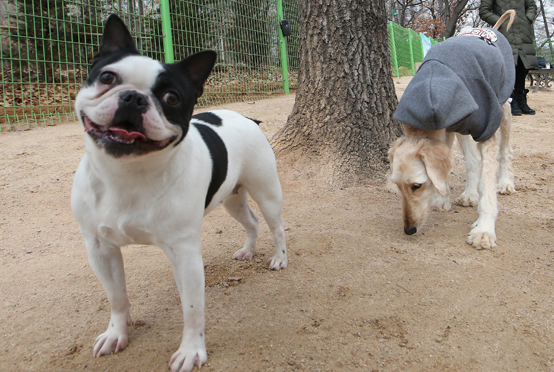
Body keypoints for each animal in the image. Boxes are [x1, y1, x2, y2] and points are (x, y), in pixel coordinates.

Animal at [71, 14, 286, 372]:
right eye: (107, 77)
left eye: (172, 98)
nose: (133, 97)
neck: (128, 174)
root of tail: (245, 116)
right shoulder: (100, 249)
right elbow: (116, 297)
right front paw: (116, 333)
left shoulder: (185, 255)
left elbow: (192, 310)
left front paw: (191, 351)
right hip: (232, 199)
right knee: (251, 222)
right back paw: (247, 251)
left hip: (267, 192)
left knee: (276, 226)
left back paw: (279, 258)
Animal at [388, 10, 512, 250]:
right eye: (397, 185)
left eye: (416, 185)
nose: (409, 230)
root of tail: (493, 29)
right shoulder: (446, 129)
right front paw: (442, 198)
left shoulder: (487, 128)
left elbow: (488, 182)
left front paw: (484, 229)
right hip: (460, 127)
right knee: (472, 159)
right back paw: (470, 194)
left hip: (504, 106)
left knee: (505, 151)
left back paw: (506, 182)